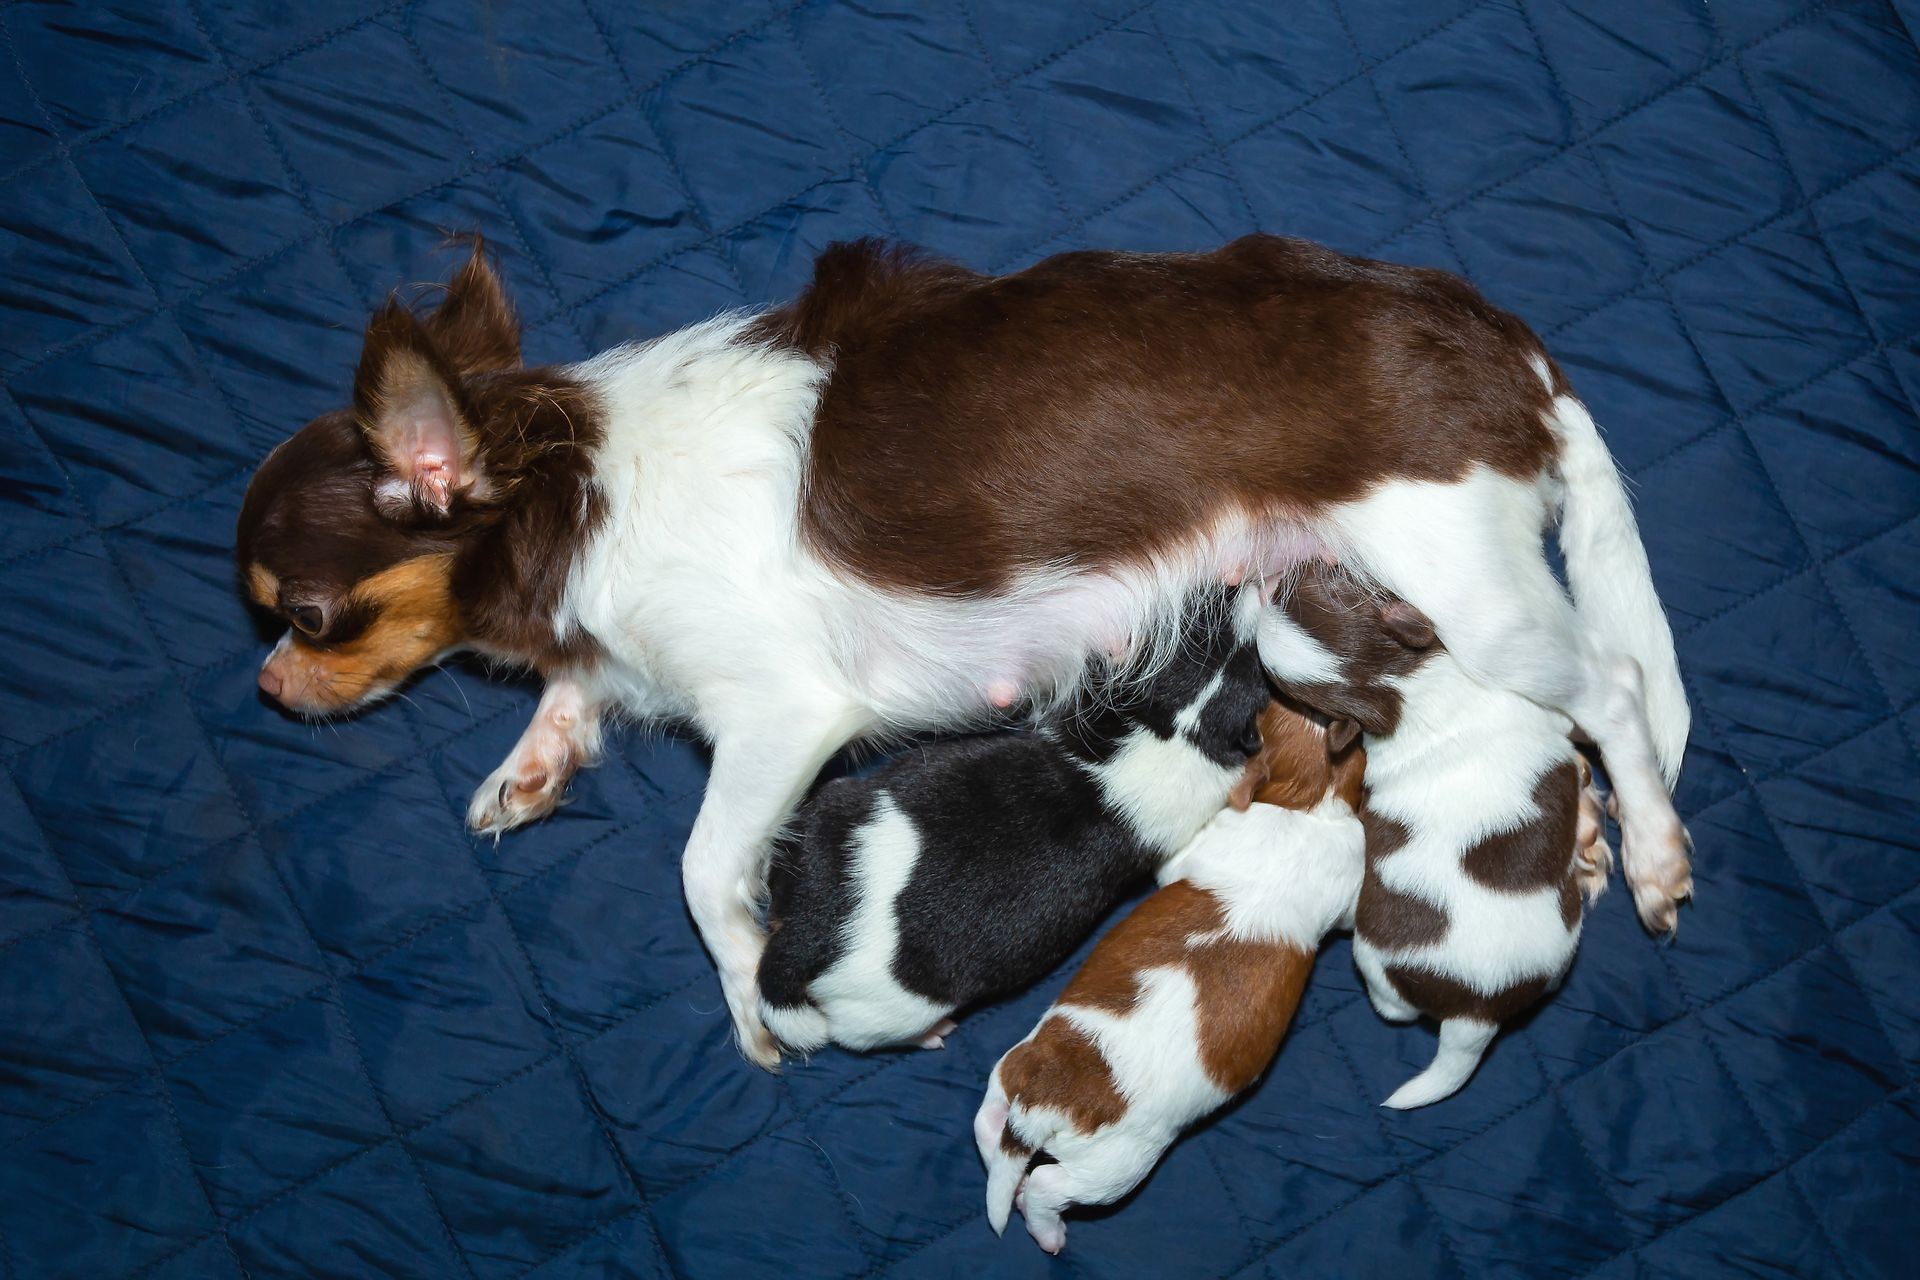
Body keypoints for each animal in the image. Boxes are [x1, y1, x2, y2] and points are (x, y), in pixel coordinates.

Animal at [975, 702, 1367, 1251]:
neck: (1302, 803)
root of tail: (1046, 1099)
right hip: (1114, 1167)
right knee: (1045, 1188)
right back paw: (1048, 1231)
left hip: (1013, 1067)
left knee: (989, 1128)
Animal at [1274, 571, 1620, 1113]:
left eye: (1289, 596)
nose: (1257, 586)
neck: (1401, 691)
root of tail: (1474, 1015)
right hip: (1381, 958)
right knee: (1395, 1007)